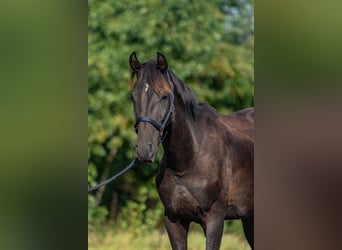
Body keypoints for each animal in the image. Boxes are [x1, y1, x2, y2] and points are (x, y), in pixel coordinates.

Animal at [128, 51, 254, 249]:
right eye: (133, 96)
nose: (144, 149)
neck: (189, 160)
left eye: (164, 96)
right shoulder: (174, 220)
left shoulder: (214, 219)